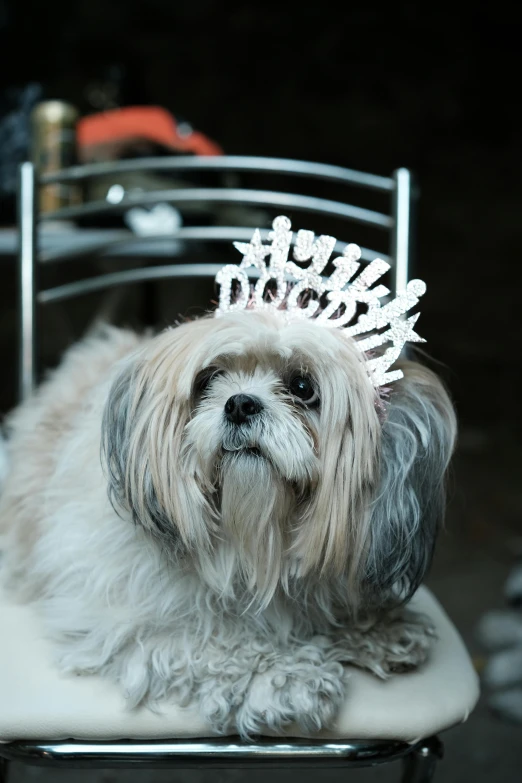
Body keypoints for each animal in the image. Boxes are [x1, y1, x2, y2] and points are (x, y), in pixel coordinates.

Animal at [0, 217, 452, 740]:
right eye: (210, 379)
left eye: (303, 387)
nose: (239, 403)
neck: (256, 539)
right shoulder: (122, 617)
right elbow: (209, 639)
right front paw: (280, 675)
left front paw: (377, 626)